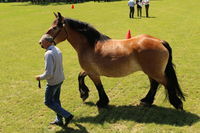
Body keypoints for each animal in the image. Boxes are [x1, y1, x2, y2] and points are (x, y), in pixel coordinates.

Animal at [39, 12, 186, 110]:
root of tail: (159, 41)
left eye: (55, 28)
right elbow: (80, 76)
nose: (41, 42)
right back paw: (147, 100)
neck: (90, 45)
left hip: (154, 72)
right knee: (154, 84)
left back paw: (177, 103)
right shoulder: (90, 70)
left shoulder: (93, 73)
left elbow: (98, 86)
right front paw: (84, 93)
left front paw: (102, 101)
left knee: (166, 83)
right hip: (151, 72)